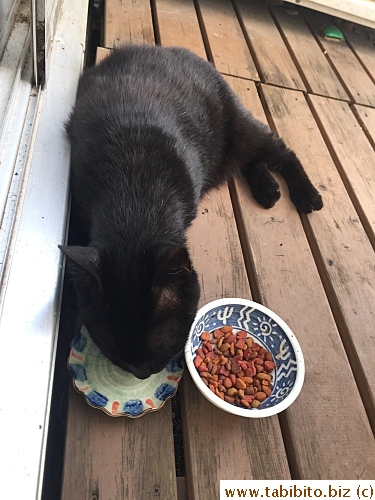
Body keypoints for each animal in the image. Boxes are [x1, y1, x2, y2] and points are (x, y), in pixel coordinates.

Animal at [61, 45, 324, 378]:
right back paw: (267, 189)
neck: (134, 203)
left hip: (240, 127)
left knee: (279, 151)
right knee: (247, 161)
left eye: (158, 351)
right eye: (113, 351)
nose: (141, 374)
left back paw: (306, 194)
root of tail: (166, 49)